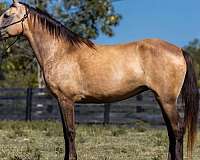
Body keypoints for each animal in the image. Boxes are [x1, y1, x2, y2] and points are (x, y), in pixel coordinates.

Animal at [0, 0, 199, 159]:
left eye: (7, 15)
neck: (60, 52)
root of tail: (179, 50)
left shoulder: (66, 100)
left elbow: (70, 132)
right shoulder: (61, 101)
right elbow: (65, 132)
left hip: (167, 100)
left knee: (177, 130)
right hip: (163, 100)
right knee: (172, 132)